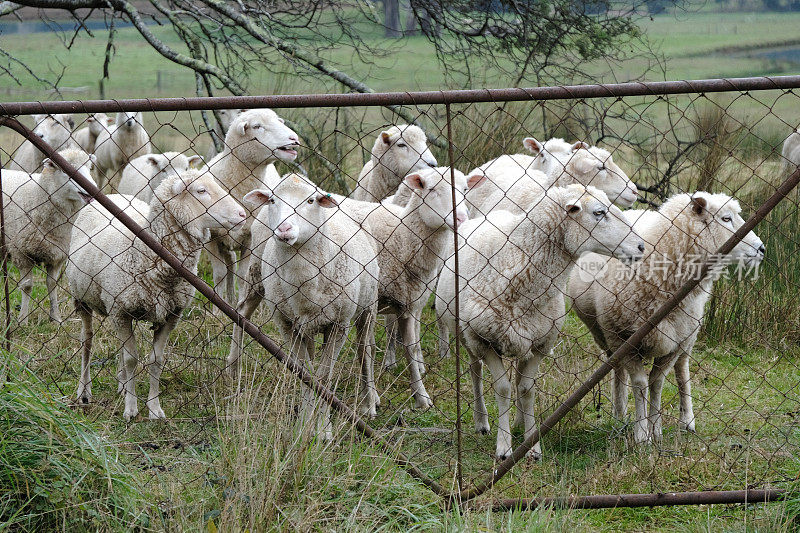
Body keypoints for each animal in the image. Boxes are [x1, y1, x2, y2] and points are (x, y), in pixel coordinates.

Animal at [1, 149, 97, 324]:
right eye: (67, 170)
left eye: (89, 167)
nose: (93, 188)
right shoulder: (20, 252)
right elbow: (27, 286)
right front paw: (23, 319)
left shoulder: (58, 255)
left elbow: (52, 284)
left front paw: (56, 318)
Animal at [67, 170, 245, 420]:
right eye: (201, 191)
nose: (242, 214)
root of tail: (113, 195)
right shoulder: (121, 311)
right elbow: (132, 359)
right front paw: (131, 409)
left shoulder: (171, 315)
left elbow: (156, 360)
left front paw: (154, 408)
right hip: (81, 298)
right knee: (88, 341)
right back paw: (84, 391)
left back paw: (122, 385)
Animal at [241, 177, 378, 438]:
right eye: (272, 200)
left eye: (310, 200)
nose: (284, 229)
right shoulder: (285, 323)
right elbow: (304, 372)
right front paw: (305, 424)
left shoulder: (339, 324)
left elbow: (323, 376)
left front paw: (323, 428)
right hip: (255, 275)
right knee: (243, 314)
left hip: (368, 305)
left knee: (364, 351)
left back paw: (369, 402)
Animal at [434, 185, 648, 460]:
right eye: (599, 212)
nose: (641, 246)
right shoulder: (484, 340)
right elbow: (502, 388)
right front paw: (504, 448)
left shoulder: (540, 344)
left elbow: (526, 389)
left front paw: (531, 445)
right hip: (466, 335)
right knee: (475, 370)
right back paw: (482, 422)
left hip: (521, 337)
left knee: (516, 379)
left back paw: (517, 422)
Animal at [568, 192, 764, 444]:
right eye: (726, 218)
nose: (762, 249)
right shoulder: (624, 339)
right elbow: (640, 384)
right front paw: (642, 434)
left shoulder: (675, 343)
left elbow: (657, 383)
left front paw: (656, 429)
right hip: (605, 336)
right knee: (617, 369)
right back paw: (619, 414)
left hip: (689, 335)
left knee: (682, 370)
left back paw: (687, 420)